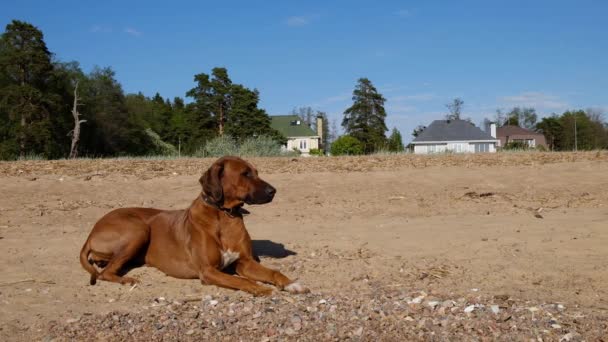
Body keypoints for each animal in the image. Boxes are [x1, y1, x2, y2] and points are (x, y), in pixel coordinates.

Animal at [79, 156, 308, 296]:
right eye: (245, 174)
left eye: (257, 172)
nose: (273, 191)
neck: (223, 215)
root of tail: (92, 231)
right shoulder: (208, 271)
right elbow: (242, 281)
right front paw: (260, 288)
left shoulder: (244, 263)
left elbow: (273, 272)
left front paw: (291, 283)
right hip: (139, 230)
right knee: (104, 273)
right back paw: (127, 280)